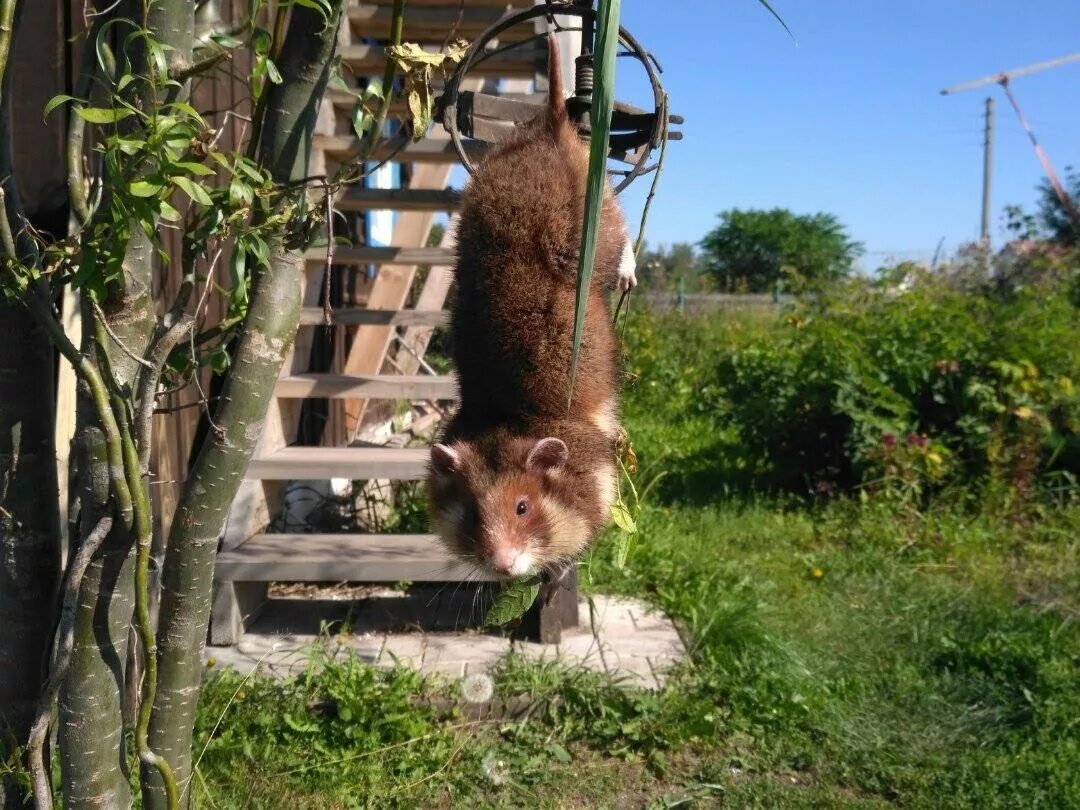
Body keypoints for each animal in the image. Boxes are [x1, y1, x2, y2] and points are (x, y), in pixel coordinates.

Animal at [427, 34, 635, 591]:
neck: (507, 416)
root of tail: (550, 127)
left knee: (620, 238)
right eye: (470, 514)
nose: (502, 566)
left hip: (595, 223)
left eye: (523, 507)